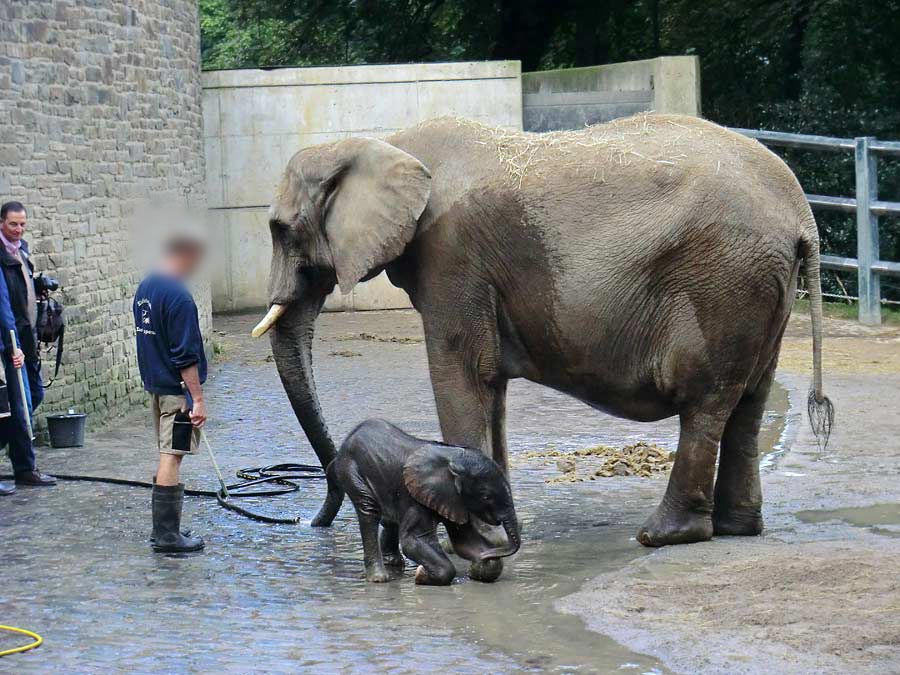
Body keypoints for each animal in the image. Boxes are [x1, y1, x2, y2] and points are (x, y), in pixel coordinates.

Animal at [250, 115, 832, 548]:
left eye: (280, 229)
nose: (310, 522)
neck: (383, 141)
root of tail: (801, 213)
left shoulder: (452, 257)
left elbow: (462, 374)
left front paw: (474, 541)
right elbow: (489, 386)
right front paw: (496, 526)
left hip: (725, 282)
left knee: (707, 404)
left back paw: (663, 535)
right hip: (761, 289)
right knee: (748, 403)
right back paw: (737, 528)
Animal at [332, 420, 524, 584]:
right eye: (486, 496)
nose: (488, 555)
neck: (453, 460)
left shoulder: (454, 499)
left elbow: (466, 542)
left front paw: (483, 561)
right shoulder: (418, 499)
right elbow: (412, 541)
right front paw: (421, 575)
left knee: (390, 519)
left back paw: (393, 563)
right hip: (350, 468)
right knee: (368, 509)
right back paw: (379, 578)